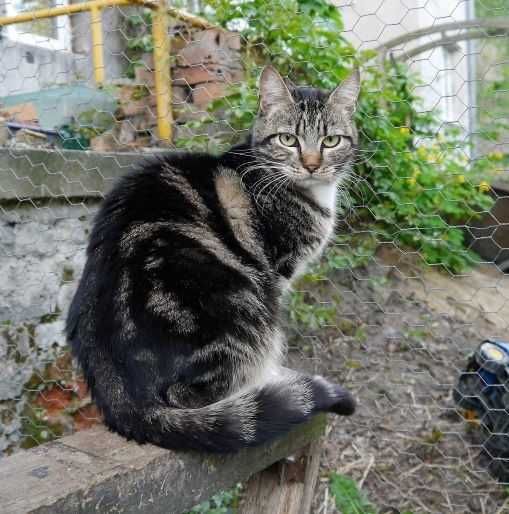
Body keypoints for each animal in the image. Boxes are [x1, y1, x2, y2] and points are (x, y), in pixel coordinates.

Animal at [67, 66, 360, 450]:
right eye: (288, 139)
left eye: (331, 141)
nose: (311, 165)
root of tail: (118, 392)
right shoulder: (277, 273)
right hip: (237, 302)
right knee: (192, 394)